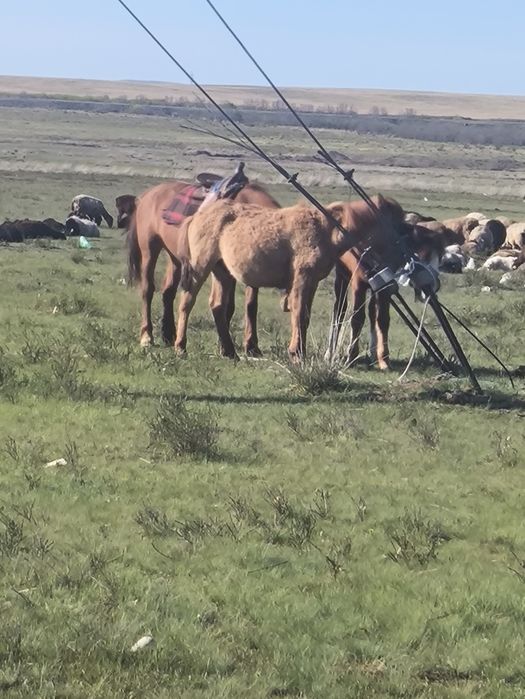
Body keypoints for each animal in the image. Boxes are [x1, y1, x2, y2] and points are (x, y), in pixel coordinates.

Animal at [126, 180, 280, 355]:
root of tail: (147, 195)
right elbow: (227, 304)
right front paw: (225, 345)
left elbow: (249, 306)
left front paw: (250, 346)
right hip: (149, 250)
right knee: (148, 290)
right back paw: (147, 336)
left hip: (176, 259)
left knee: (168, 291)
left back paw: (168, 334)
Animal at [175, 194, 413, 361]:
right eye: (397, 225)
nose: (404, 254)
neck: (327, 227)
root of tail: (198, 215)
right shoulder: (302, 279)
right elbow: (298, 313)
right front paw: (297, 351)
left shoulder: (313, 283)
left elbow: (305, 316)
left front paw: (300, 350)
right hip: (200, 266)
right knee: (187, 301)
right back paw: (180, 346)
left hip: (222, 272)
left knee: (217, 306)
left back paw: (229, 351)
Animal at [325, 224, 444, 369]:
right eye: (428, 253)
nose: (436, 285)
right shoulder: (358, 286)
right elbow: (357, 319)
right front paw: (351, 357)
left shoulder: (384, 288)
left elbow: (382, 320)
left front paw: (384, 359)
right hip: (342, 276)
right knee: (339, 311)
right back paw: (330, 353)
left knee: (372, 313)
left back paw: (373, 354)